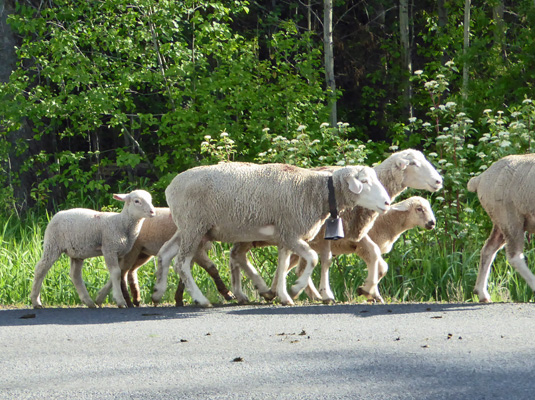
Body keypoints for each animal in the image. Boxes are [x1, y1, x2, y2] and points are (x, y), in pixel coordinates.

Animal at [95, 206, 233, 306]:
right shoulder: (197, 250)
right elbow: (212, 269)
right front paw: (227, 294)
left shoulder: (193, 253)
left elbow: (183, 277)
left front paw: (179, 300)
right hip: (133, 251)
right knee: (123, 273)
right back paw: (128, 302)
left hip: (143, 253)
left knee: (130, 272)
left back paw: (135, 299)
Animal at [153, 162, 392, 306]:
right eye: (364, 182)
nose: (387, 203)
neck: (314, 192)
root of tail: (170, 188)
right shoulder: (291, 232)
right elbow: (313, 258)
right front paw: (295, 289)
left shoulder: (285, 233)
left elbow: (283, 264)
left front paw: (284, 295)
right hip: (193, 225)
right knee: (181, 263)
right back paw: (201, 299)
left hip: (189, 227)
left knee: (165, 254)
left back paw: (157, 292)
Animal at [230, 149, 444, 304]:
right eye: (414, 163)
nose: (438, 181)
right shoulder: (333, 235)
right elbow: (331, 260)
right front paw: (334, 293)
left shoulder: (347, 236)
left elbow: (373, 258)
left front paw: (368, 290)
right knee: (237, 256)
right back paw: (255, 291)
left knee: (238, 257)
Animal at [466, 154, 535, 304]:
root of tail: (480, 179)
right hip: (510, 219)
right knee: (514, 256)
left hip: (500, 222)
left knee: (488, 249)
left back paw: (482, 294)